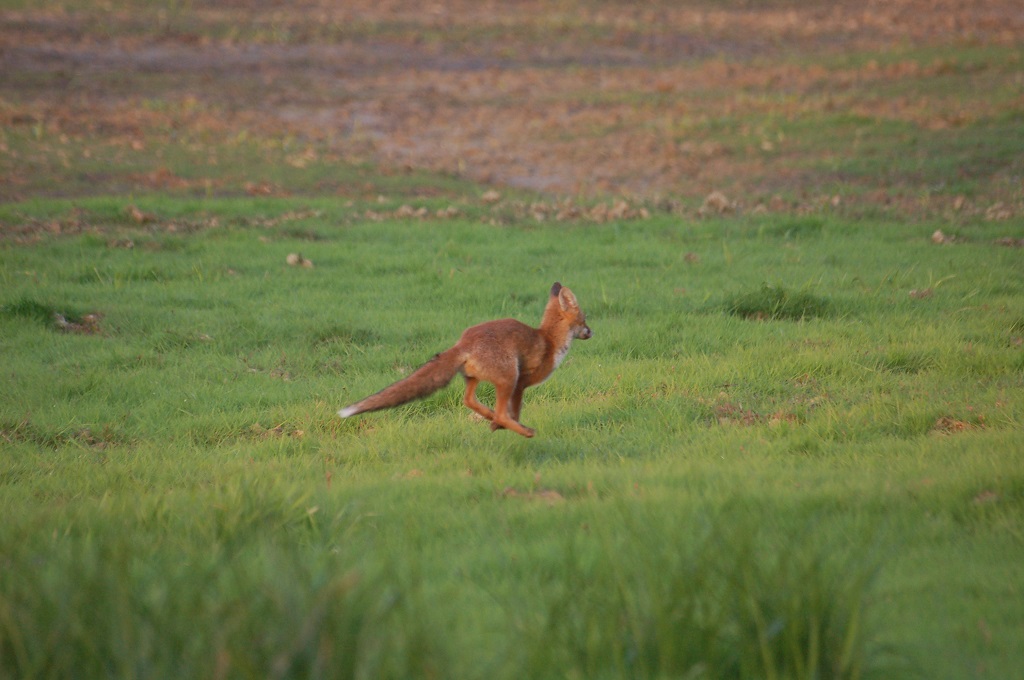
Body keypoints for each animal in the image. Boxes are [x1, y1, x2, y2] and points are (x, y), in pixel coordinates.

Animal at [337, 282, 593, 438]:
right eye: (585, 319)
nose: (592, 332)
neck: (549, 340)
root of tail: (463, 342)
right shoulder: (521, 383)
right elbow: (515, 411)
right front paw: (509, 425)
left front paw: (496, 425)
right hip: (508, 377)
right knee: (498, 410)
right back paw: (521, 430)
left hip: (474, 377)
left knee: (468, 400)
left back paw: (491, 419)